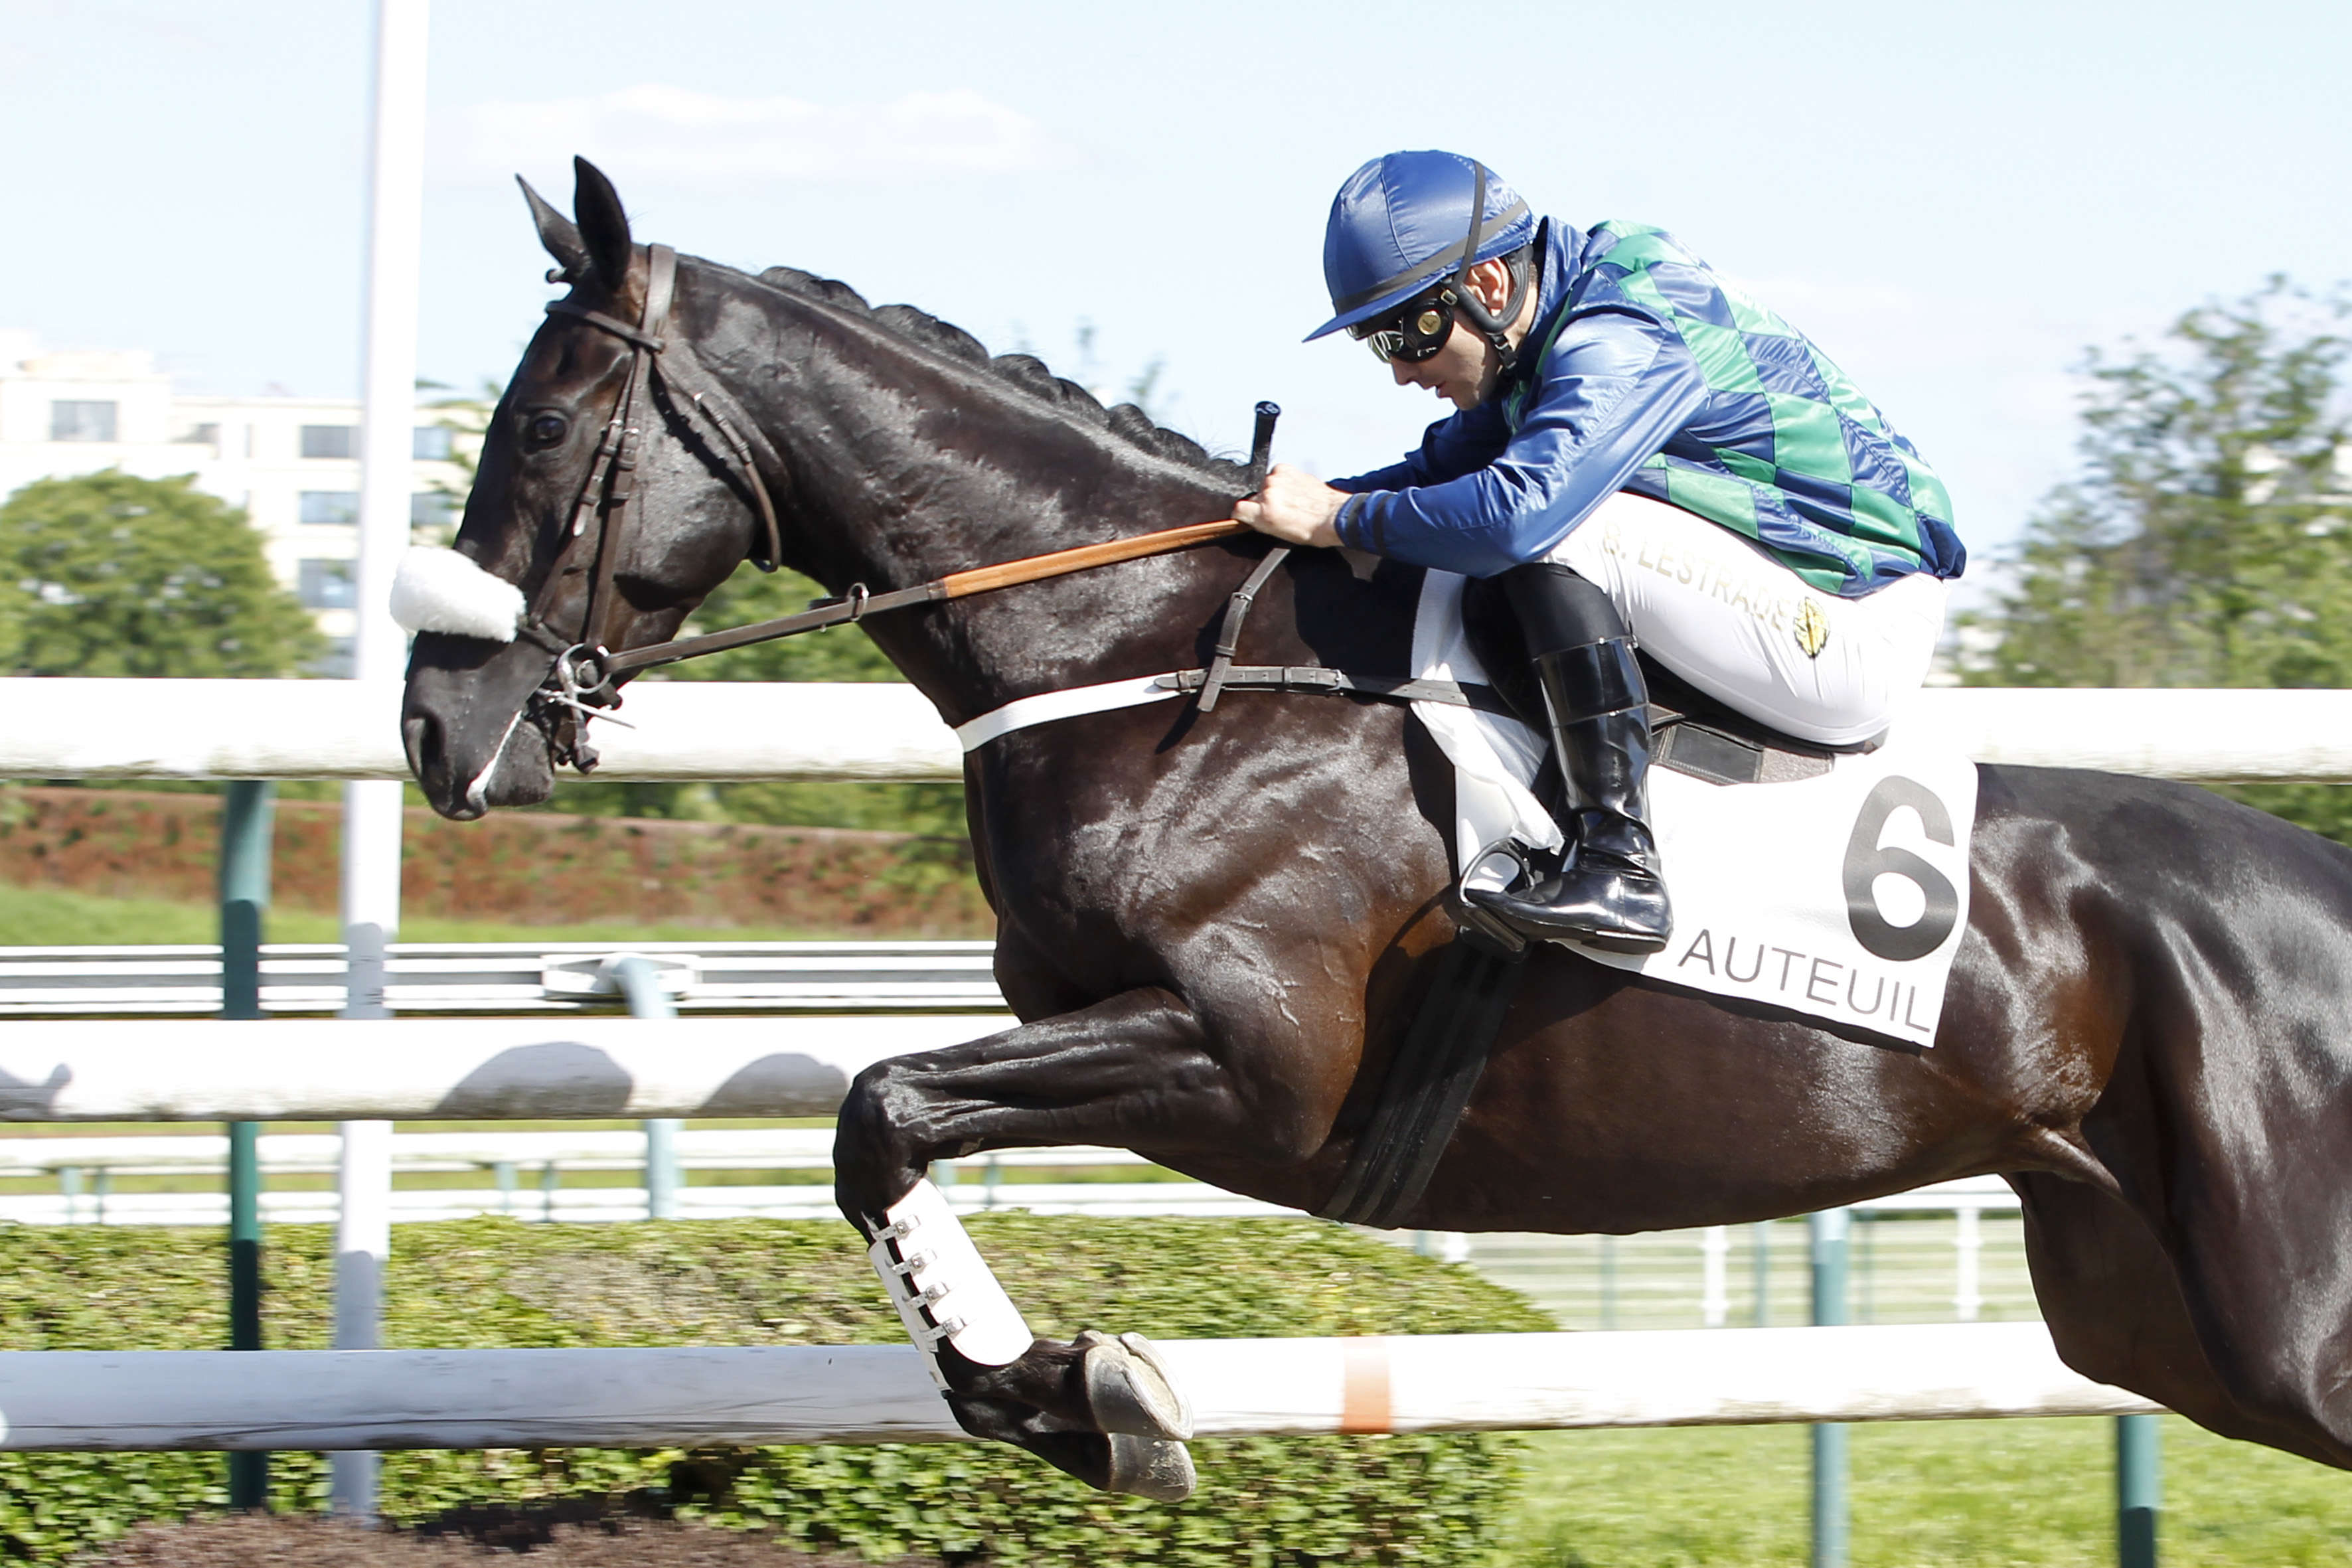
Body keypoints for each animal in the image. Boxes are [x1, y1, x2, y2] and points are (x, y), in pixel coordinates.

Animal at [400, 162, 2352, 1504]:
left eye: (544, 423)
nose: (435, 721)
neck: (1146, 654)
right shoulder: (1118, 1028)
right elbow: (883, 1126)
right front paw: (1055, 1393)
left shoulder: (1252, 1055)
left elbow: (875, 1110)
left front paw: (1089, 1399)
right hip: (2148, 1306)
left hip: (2276, 1318)